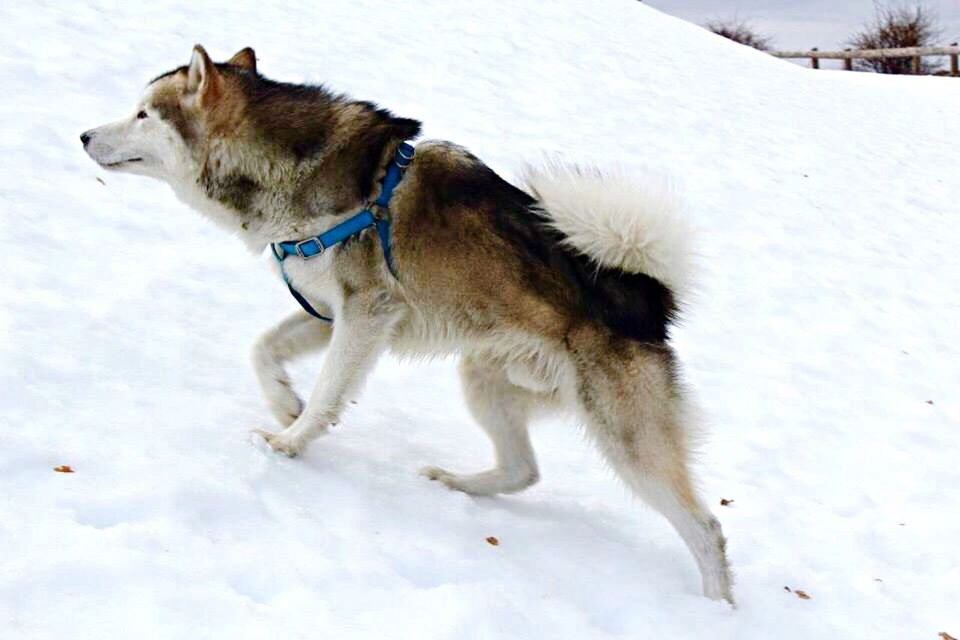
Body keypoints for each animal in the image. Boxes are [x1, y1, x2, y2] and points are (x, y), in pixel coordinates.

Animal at [82, 46, 736, 604]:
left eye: (143, 113)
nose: (84, 135)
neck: (296, 168)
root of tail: (648, 303)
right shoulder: (333, 312)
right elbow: (263, 349)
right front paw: (285, 405)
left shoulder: (366, 312)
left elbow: (329, 392)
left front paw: (289, 444)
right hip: (485, 379)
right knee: (523, 470)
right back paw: (454, 484)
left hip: (628, 441)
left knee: (705, 527)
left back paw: (715, 607)